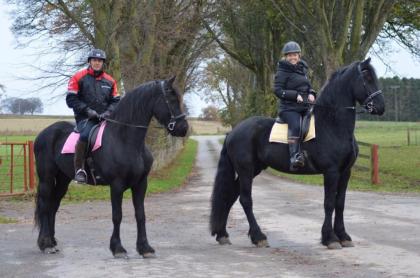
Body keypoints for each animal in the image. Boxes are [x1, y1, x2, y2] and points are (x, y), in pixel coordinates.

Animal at [34, 75, 189, 256]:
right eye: (171, 99)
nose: (183, 128)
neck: (124, 139)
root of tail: (44, 133)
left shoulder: (141, 184)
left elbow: (140, 214)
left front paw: (144, 247)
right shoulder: (116, 185)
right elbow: (117, 216)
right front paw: (118, 248)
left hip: (63, 178)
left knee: (53, 205)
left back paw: (51, 241)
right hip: (46, 178)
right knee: (45, 205)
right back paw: (45, 243)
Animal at [212, 58, 386, 250]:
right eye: (367, 78)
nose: (381, 107)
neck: (332, 124)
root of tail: (233, 132)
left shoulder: (345, 172)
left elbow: (340, 203)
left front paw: (343, 236)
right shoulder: (331, 172)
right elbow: (329, 203)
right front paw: (330, 239)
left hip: (253, 169)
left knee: (230, 195)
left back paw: (223, 235)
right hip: (245, 170)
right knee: (245, 199)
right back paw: (259, 237)